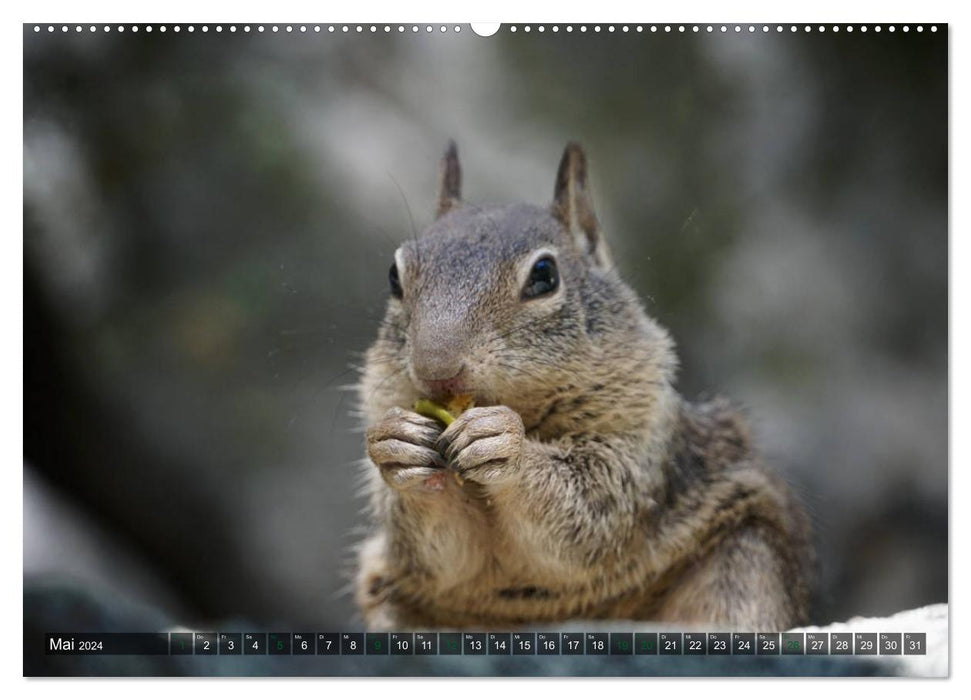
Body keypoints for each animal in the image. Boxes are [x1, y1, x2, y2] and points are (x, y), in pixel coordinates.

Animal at [356, 141, 812, 628]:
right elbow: (438, 553)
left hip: (742, 564)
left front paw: (505, 443)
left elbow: (590, 509)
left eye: (544, 276)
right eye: (393, 275)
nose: (436, 368)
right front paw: (395, 443)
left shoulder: (637, 441)